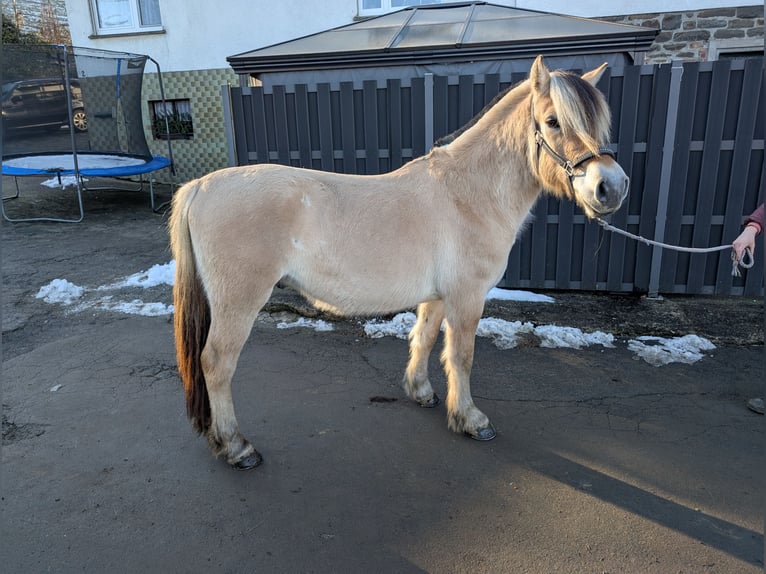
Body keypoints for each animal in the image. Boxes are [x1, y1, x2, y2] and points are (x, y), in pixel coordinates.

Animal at [170, 56, 632, 470]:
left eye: (599, 124)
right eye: (553, 121)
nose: (611, 187)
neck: (468, 194)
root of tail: (201, 185)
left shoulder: (437, 297)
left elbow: (424, 340)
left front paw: (421, 391)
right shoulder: (467, 297)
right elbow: (461, 356)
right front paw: (471, 420)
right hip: (238, 303)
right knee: (216, 363)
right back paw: (237, 447)